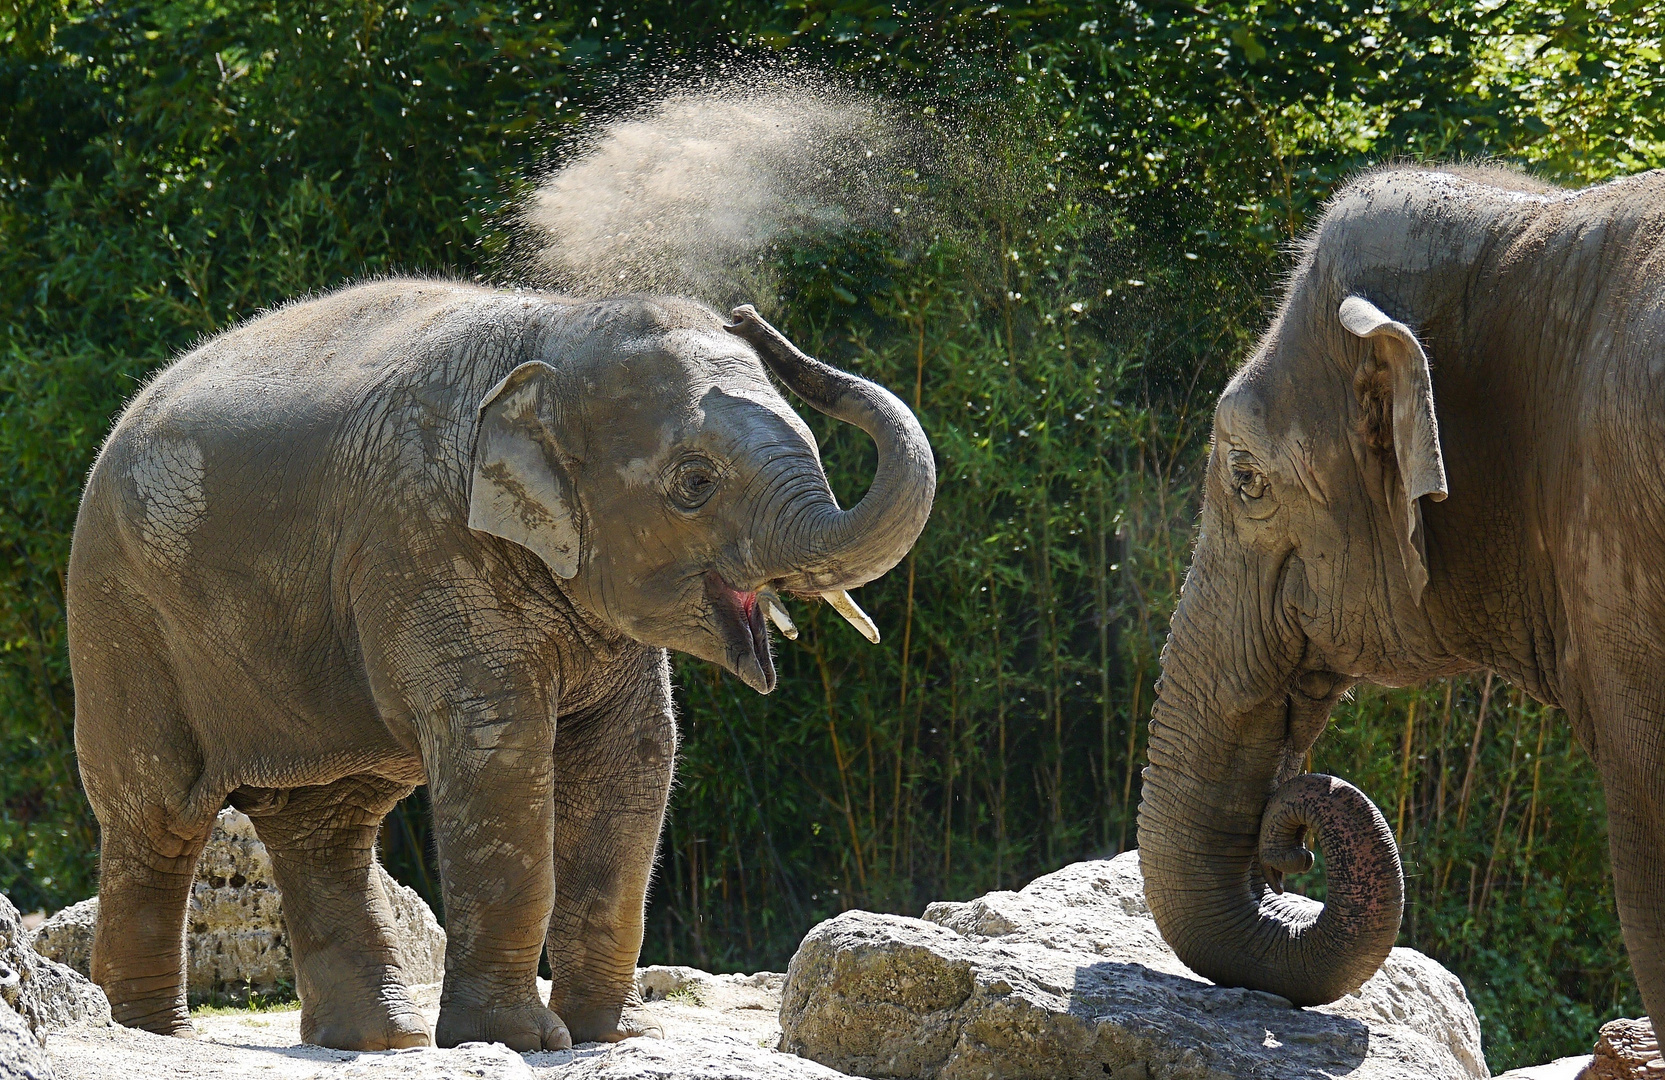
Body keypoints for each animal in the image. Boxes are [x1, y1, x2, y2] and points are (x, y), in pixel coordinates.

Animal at [68, 282, 939, 1051]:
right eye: (694, 483)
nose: (749, 312)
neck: (558, 329)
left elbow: (634, 758)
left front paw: (612, 1035)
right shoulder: (427, 537)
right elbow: (500, 750)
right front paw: (521, 1040)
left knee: (329, 824)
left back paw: (382, 1041)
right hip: (119, 622)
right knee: (158, 817)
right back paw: (148, 1032)